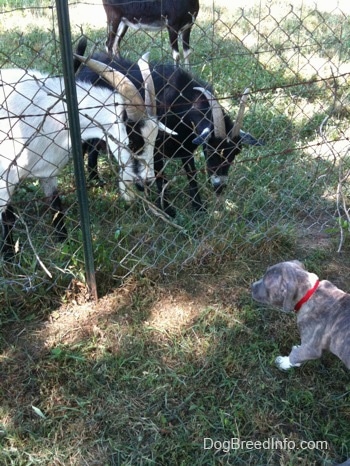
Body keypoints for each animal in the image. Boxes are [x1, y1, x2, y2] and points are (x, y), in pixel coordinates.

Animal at [0, 57, 163, 258]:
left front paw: (64, 243)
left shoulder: (47, 171)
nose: (146, 182)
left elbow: (56, 206)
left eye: (154, 140)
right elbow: (7, 217)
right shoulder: (6, 176)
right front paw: (9, 255)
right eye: (132, 140)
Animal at [74, 39, 266, 217]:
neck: (180, 100)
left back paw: (95, 178)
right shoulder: (155, 148)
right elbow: (160, 177)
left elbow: (191, 175)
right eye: (210, 150)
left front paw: (198, 207)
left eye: (235, 153)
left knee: (94, 146)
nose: (219, 186)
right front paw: (168, 210)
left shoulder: (186, 147)